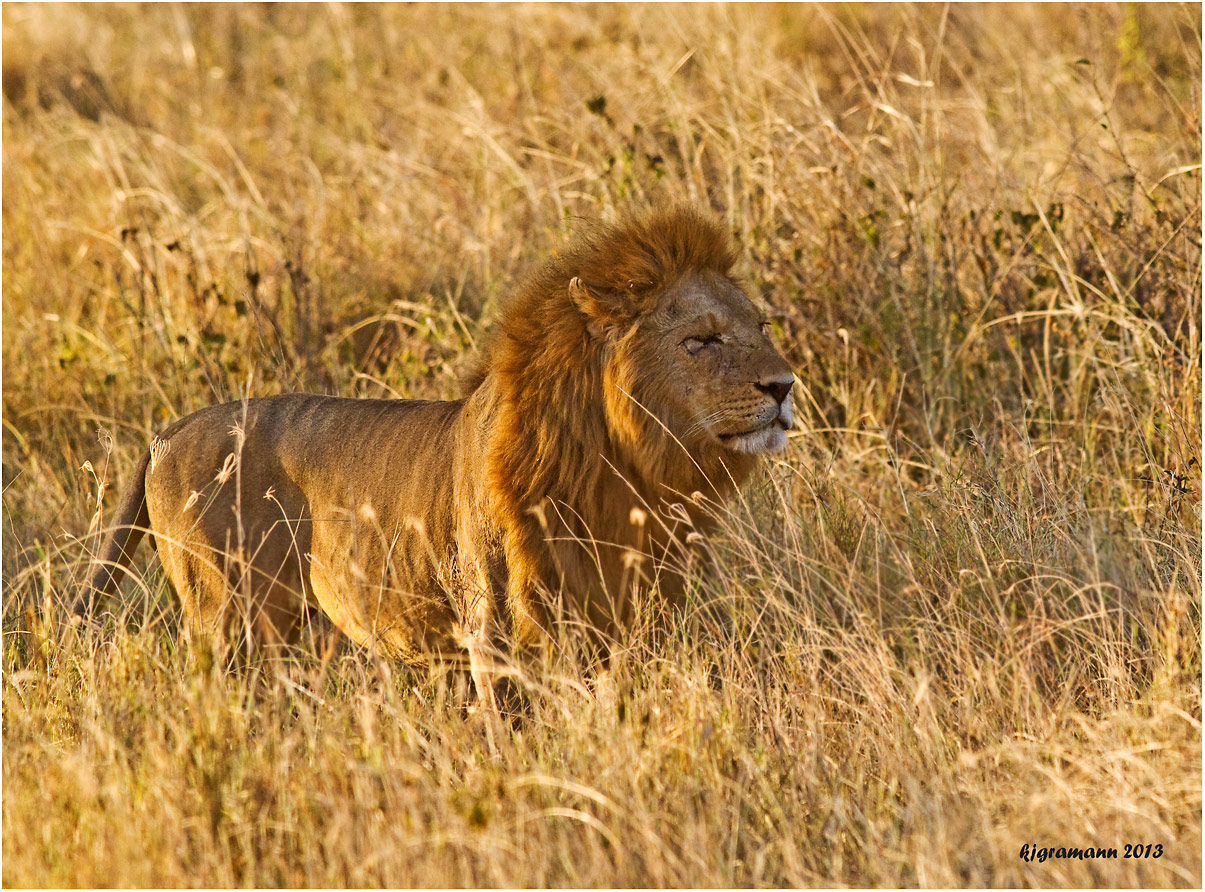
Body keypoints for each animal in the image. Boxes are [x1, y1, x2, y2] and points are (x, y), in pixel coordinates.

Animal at [87, 206, 800, 708]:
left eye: (762, 328)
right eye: (701, 340)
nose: (785, 386)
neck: (624, 473)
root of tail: (166, 433)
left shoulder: (638, 617)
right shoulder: (495, 635)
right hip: (225, 620)